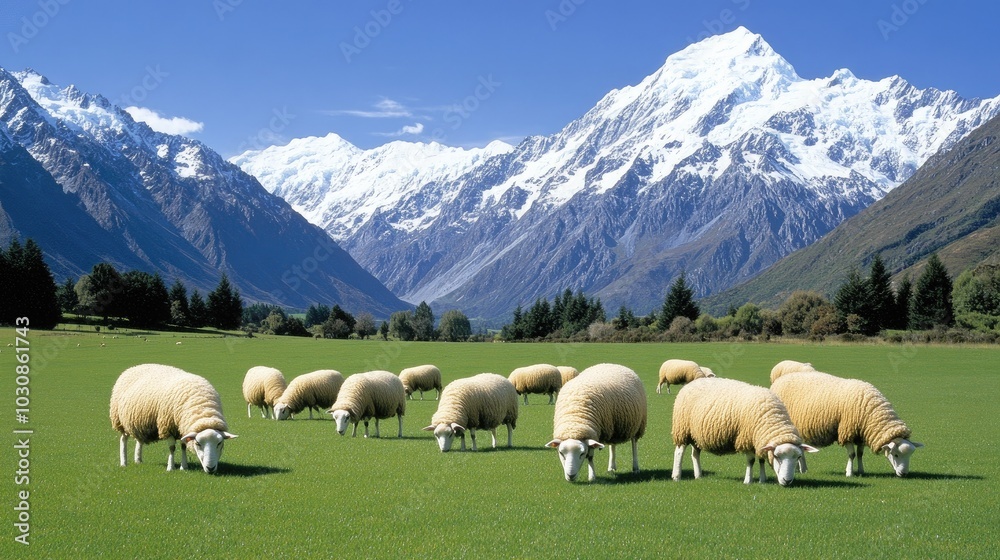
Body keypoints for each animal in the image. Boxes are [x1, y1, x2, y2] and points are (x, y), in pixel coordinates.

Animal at [671, 377, 818, 486]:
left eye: (798, 457)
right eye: (777, 456)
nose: (787, 481)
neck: (772, 418)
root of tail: (692, 382)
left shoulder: (758, 440)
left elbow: (761, 460)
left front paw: (762, 480)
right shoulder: (747, 438)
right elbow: (751, 461)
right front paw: (748, 481)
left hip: (695, 434)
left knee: (695, 454)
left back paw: (698, 475)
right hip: (682, 429)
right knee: (679, 452)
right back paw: (677, 476)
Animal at [770, 370, 923, 477]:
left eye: (910, 455)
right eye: (896, 455)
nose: (904, 474)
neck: (869, 410)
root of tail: (779, 380)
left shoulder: (861, 433)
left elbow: (860, 454)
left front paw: (861, 471)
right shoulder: (847, 431)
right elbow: (852, 455)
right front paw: (849, 473)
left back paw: (799, 468)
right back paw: (801, 469)